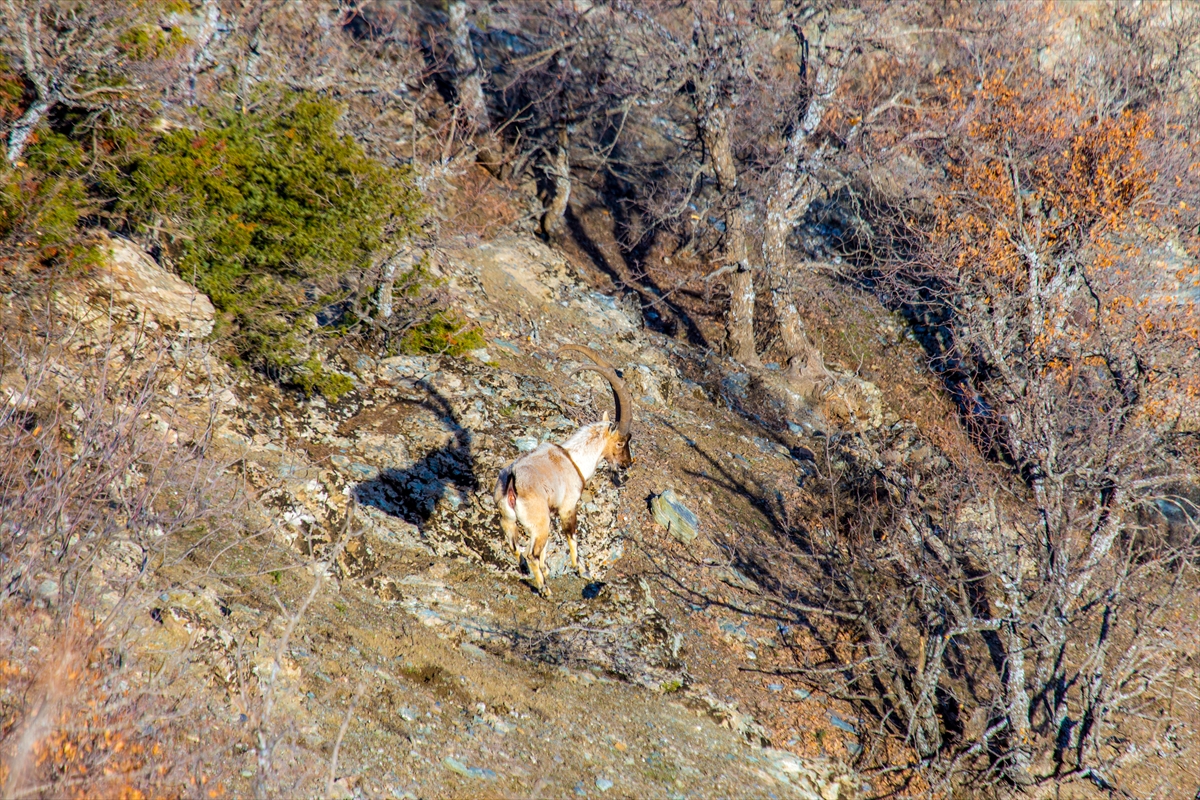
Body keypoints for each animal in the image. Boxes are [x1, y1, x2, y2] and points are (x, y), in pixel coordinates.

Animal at [492, 347, 633, 597]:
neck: (574, 459)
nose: (627, 463)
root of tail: (512, 481)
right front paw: (582, 570)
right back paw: (545, 590)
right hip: (539, 524)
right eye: (620, 443)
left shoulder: (552, 511)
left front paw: (548, 569)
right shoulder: (568, 507)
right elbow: (572, 536)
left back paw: (528, 572)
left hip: (509, 520)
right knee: (531, 553)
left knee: (517, 548)